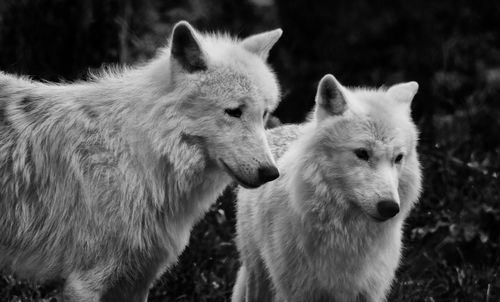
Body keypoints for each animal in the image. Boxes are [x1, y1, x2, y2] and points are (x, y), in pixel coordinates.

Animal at [0, 20, 282, 300]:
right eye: (234, 112)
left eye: (264, 114)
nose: (271, 172)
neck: (136, 152)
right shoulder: (85, 281)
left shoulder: (137, 280)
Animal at [233, 74, 422, 300]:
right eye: (362, 153)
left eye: (398, 158)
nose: (390, 207)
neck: (346, 233)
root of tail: (277, 129)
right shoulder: (299, 291)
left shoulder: (369, 292)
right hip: (258, 276)